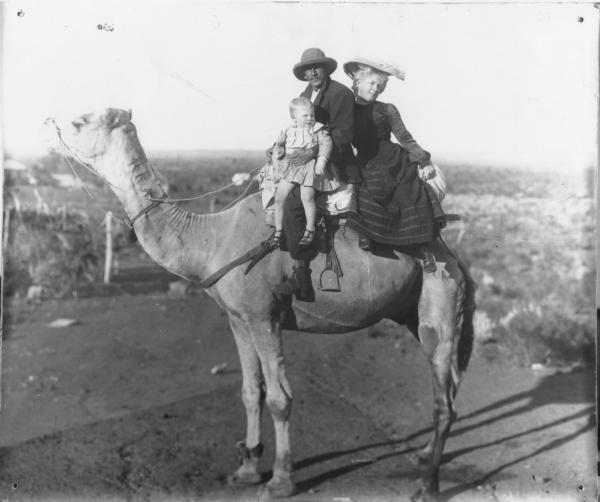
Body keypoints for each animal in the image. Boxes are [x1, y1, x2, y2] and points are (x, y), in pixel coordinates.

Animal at [57, 108, 478, 500]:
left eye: (80, 121)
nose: (51, 122)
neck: (210, 242)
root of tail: (456, 260)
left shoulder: (264, 316)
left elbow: (279, 397)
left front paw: (280, 479)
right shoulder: (238, 318)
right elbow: (250, 391)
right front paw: (246, 469)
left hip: (438, 298)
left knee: (444, 396)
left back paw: (428, 485)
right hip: (412, 311)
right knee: (449, 386)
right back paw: (423, 454)